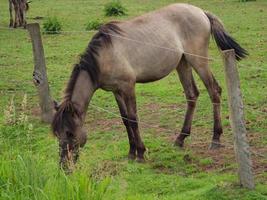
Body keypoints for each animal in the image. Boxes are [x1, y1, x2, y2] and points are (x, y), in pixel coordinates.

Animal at [52, 3, 249, 170]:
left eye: (70, 133)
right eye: (57, 133)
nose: (64, 165)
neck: (105, 55)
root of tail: (201, 12)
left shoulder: (128, 87)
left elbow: (133, 119)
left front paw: (140, 153)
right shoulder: (116, 91)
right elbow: (125, 120)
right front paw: (131, 152)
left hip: (198, 61)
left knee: (214, 91)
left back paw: (215, 139)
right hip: (182, 63)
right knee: (192, 95)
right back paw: (180, 139)